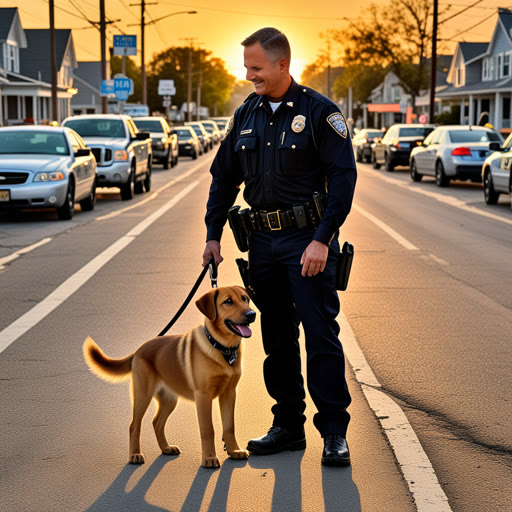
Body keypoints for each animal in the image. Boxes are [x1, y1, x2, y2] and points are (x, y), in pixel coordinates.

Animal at [83, 286, 256, 470]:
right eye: (228, 301)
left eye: (245, 299)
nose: (252, 314)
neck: (222, 348)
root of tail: (139, 349)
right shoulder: (203, 396)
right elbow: (208, 429)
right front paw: (209, 458)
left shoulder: (229, 393)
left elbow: (230, 426)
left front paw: (234, 451)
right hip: (143, 396)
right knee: (134, 425)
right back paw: (135, 455)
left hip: (169, 399)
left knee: (157, 423)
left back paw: (166, 448)